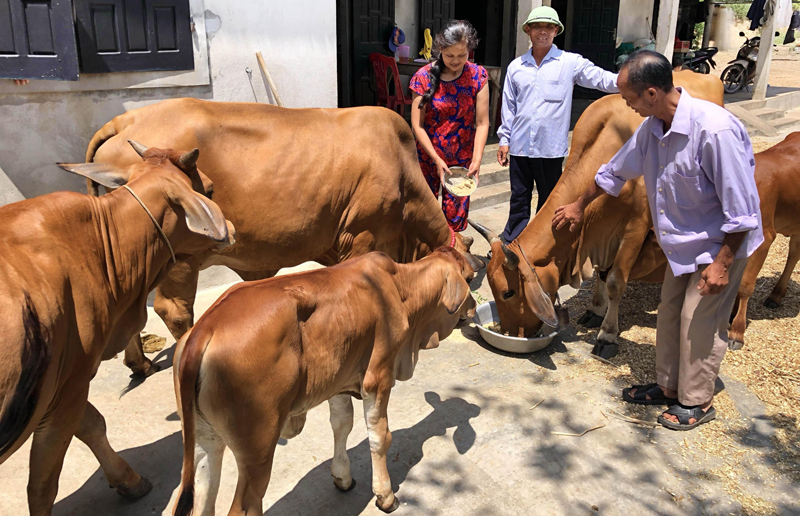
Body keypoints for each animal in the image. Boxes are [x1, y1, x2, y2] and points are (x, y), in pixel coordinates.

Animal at [0, 142, 236, 516]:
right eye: (210, 189)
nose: (232, 228)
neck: (101, 244)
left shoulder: (65, 384)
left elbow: (93, 425)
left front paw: (129, 481)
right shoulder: (69, 385)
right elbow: (42, 486)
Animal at [84, 104, 482, 378]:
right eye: (470, 277)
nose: (470, 314)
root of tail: (123, 122)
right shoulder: (363, 235)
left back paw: (140, 363)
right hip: (178, 258)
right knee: (175, 311)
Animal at [170, 248, 476, 512]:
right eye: (470, 278)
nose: (473, 308)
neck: (400, 289)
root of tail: (205, 328)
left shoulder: (339, 382)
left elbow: (341, 425)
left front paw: (342, 478)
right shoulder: (377, 379)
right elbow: (379, 437)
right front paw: (386, 496)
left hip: (205, 441)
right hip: (257, 452)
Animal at [468, 70, 724, 356]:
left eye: (508, 293)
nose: (512, 334)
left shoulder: (635, 229)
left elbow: (614, 282)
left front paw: (607, 335)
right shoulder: (601, 234)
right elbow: (601, 273)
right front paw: (595, 310)